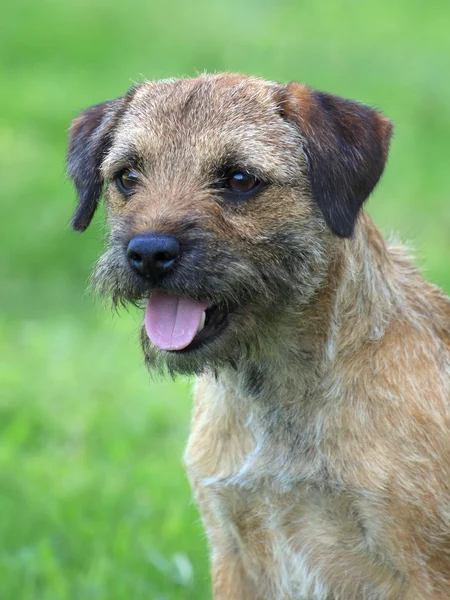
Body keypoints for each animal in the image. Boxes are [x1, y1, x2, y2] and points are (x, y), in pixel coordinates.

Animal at [67, 72, 450, 596]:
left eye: (239, 180)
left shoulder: (421, 570)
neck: (271, 389)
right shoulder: (232, 551)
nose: (147, 253)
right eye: (127, 176)